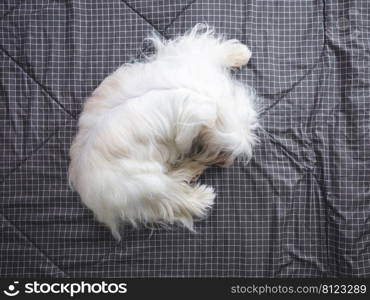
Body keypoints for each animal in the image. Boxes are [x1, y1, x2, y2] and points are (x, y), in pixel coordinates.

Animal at [70, 24, 260, 239]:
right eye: (223, 151)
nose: (227, 163)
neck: (206, 95)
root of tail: (83, 184)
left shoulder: (187, 57)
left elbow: (210, 48)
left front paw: (240, 53)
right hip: (145, 185)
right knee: (174, 198)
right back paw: (201, 195)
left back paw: (192, 168)